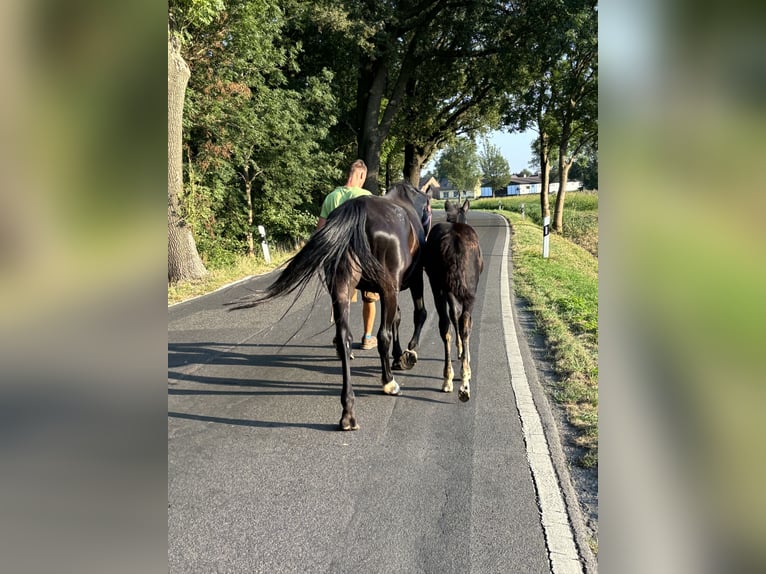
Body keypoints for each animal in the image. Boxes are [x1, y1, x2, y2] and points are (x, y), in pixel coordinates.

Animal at [228, 182, 432, 430]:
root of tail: (358, 210)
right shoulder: (410, 282)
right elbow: (417, 314)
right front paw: (407, 353)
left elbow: (397, 319)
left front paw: (399, 354)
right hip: (386, 288)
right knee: (382, 335)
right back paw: (388, 383)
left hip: (342, 287)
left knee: (344, 338)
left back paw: (348, 411)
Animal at [424, 200, 484, 402]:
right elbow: (462, 320)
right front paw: (464, 354)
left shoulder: (448, 290)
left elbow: (453, 315)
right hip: (470, 291)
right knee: (465, 323)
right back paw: (464, 379)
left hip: (437, 285)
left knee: (445, 325)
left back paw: (448, 379)